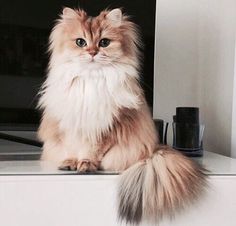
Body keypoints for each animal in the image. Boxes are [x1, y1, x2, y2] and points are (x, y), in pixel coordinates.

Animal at [37, 6, 207, 224]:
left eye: (104, 43)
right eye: (80, 42)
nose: (92, 52)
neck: (91, 80)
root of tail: (155, 147)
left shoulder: (109, 126)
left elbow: (92, 151)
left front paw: (86, 165)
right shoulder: (71, 124)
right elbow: (74, 147)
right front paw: (71, 163)